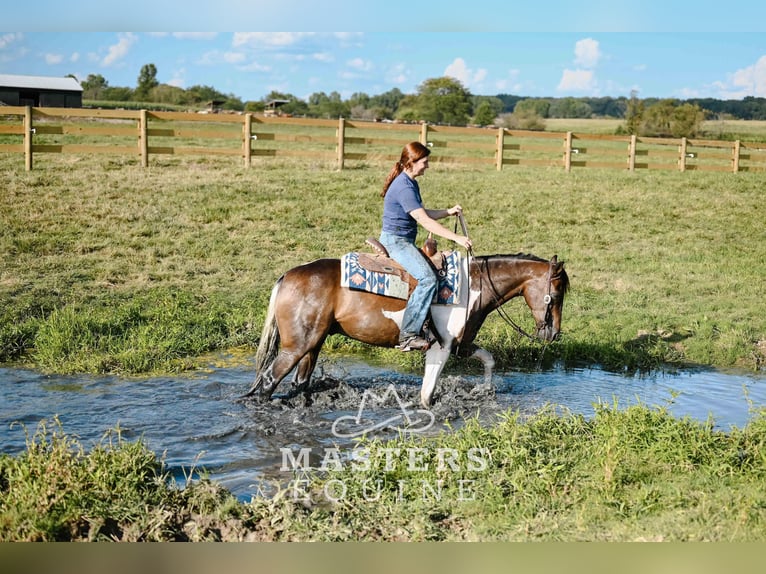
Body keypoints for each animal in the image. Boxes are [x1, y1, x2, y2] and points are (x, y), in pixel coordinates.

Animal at [245, 250, 569, 408]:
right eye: (557, 293)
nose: (552, 334)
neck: (471, 284)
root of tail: (287, 276)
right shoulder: (441, 347)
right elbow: (426, 395)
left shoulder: (461, 345)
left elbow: (489, 360)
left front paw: (485, 391)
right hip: (296, 346)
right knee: (269, 381)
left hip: (313, 344)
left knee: (299, 383)